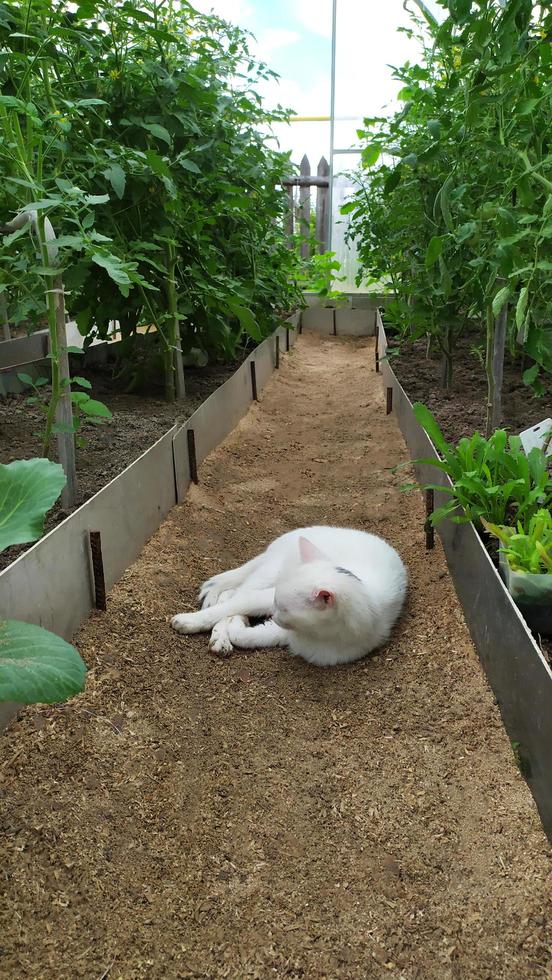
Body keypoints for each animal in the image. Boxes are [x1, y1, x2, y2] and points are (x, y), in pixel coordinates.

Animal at [170, 528, 408, 668]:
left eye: (284, 609)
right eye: (277, 604)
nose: (273, 615)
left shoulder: (288, 636)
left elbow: (249, 636)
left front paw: (235, 630)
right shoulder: (267, 597)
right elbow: (232, 606)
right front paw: (188, 621)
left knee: (233, 594)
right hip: (269, 573)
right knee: (236, 594)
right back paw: (219, 637)